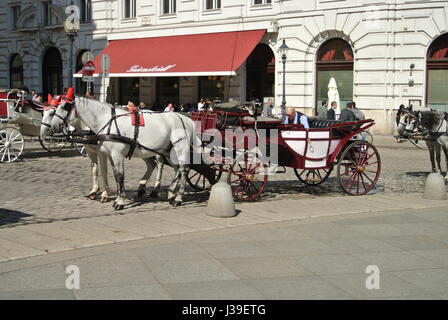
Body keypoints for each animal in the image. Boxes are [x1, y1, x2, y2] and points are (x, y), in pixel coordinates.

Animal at [47, 90, 200, 210]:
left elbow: (120, 176)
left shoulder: (117, 154)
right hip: (168, 150)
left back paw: (178, 198)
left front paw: (119, 201)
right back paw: (170, 192)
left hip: (180, 147)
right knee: (177, 169)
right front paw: (115, 197)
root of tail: (186, 119)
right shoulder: (109, 154)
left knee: (184, 169)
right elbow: (113, 175)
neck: (107, 121)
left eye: (64, 106)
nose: (52, 127)